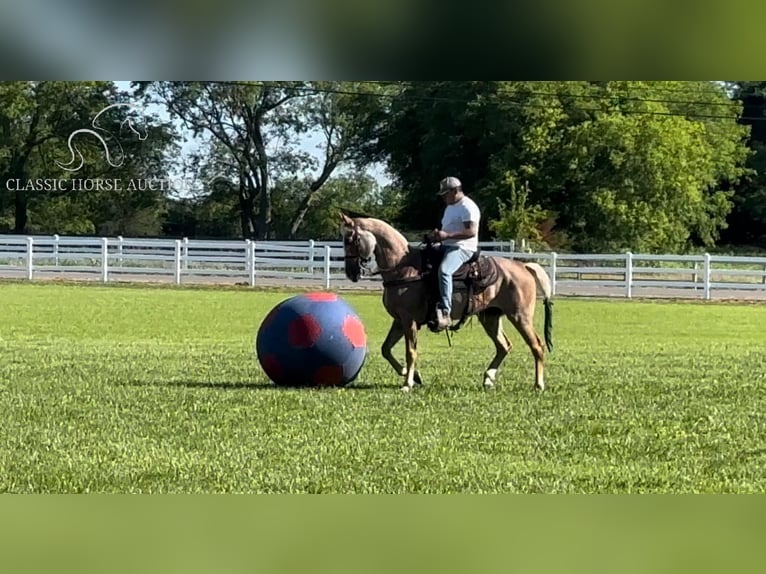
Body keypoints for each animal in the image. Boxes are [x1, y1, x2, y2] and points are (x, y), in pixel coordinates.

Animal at [344, 214, 556, 394]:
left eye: (350, 240)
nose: (351, 273)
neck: (403, 269)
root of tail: (524, 266)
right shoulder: (399, 320)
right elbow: (386, 349)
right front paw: (412, 375)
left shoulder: (409, 320)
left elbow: (410, 351)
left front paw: (407, 383)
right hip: (490, 317)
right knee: (504, 346)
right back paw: (488, 378)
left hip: (520, 316)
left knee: (536, 345)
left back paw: (538, 384)